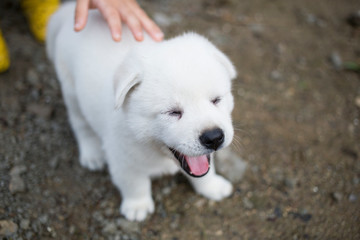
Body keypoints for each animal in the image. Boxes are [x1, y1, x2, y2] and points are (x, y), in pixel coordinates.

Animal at [47, 2, 238, 222]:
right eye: (173, 112)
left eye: (216, 100)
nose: (214, 137)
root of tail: (69, 13)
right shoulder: (122, 159)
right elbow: (134, 183)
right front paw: (137, 206)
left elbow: (205, 169)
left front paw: (212, 185)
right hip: (71, 91)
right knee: (81, 125)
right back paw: (91, 154)